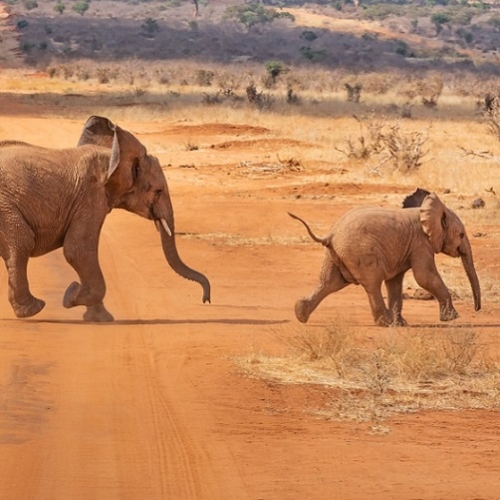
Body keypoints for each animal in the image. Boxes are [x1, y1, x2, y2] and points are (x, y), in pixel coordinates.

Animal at [0, 115, 210, 322]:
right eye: (158, 191)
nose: (206, 300)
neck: (112, 156)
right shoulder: (91, 196)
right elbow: (78, 249)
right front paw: (71, 295)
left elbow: (83, 251)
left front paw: (99, 318)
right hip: (5, 207)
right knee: (23, 242)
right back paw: (33, 309)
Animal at [290, 189, 480, 326]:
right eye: (462, 235)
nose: (477, 309)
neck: (426, 211)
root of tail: (331, 235)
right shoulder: (421, 244)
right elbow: (424, 276)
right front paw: (453, 318)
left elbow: (395, 282)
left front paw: (401, 324)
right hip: (361, 253)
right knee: (372, 284)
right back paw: (385, 322)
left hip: (335, 255)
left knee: (329, 283)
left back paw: (300, 314)